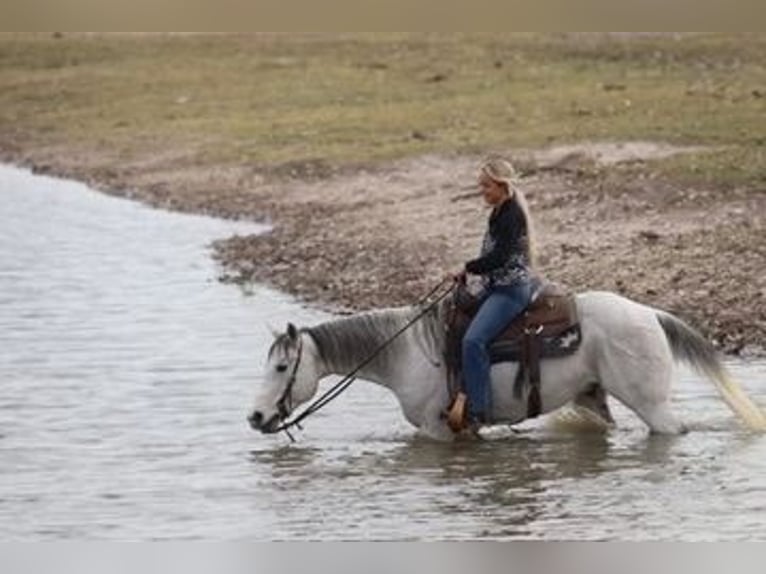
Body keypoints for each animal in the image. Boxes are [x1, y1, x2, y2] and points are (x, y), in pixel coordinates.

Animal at [248, 290, 766, 441]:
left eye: (281, 369)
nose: (255, 417)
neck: (406, 353)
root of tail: (650, 314)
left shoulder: (436, 430)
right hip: (594, 399)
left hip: (652, 405)